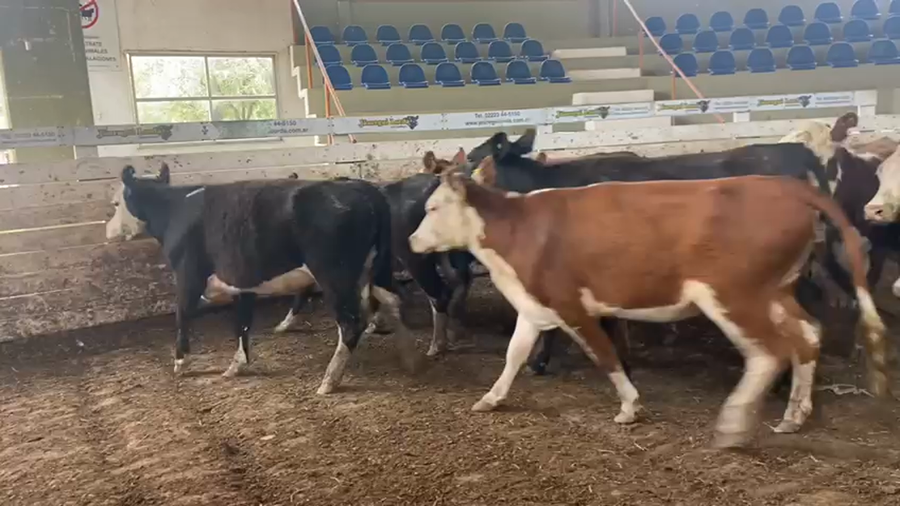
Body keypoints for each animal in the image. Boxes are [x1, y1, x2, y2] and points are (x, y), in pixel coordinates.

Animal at [105, 164, 418, 395]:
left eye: (116, 203)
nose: (109, 232)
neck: (174, 210)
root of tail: (363, 188)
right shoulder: (243, 281)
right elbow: (242, 323)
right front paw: (236, 366)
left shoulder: (188, 276)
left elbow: (183, 315)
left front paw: (181, 362)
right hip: (377, 267)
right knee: (394, 299)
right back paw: (407, 356)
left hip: (335, 275)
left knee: (351, 323)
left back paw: (329, 381)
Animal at [409, 171, 888, 448]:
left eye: (433, 207)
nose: (412, 241)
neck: (517, 229)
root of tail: (784, 185)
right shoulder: (533, 304)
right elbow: (514, 354)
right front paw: (491, 398)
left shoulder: (572, 305)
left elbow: (604, 355)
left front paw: (630, 407)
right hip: (776, 290)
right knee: (806, 335)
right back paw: (793, 415)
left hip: (734, 294)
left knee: (768, 353)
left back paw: (734, 426)